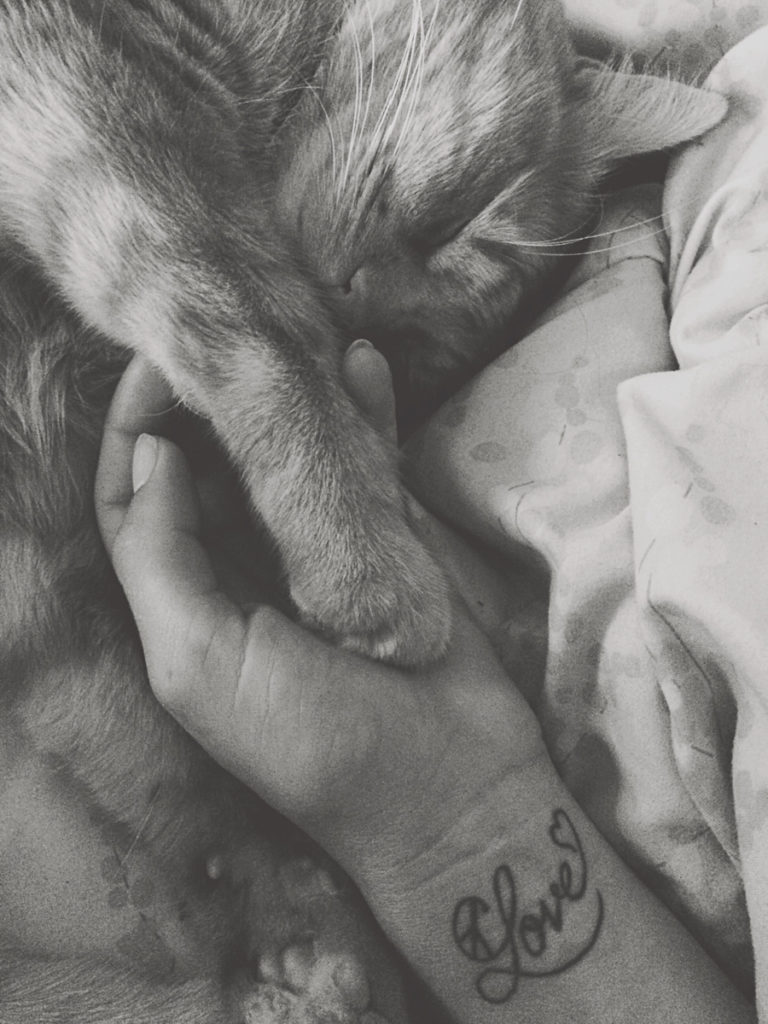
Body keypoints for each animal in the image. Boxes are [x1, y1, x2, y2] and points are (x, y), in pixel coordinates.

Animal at [0, 2, 729, 1024]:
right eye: (465, 226)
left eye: (405, 343)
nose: (355, 302)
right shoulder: (97, 107)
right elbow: (250, 315)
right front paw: (363, 555)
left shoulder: (42, 577)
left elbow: (151, 754)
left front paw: (303, 929)